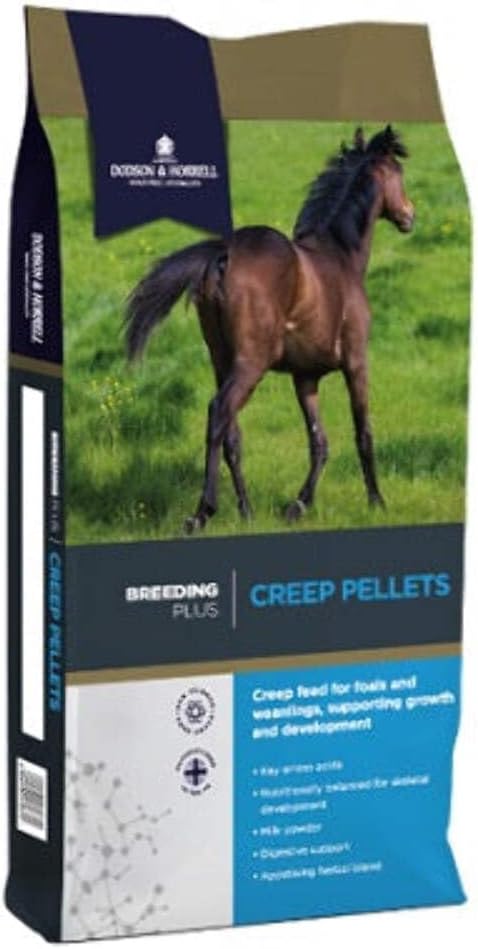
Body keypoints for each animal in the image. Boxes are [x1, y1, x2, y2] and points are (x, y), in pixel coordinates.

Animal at [126, 124, 415, 533]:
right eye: (398, 174)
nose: (409, 216)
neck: (340, 257)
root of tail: (224, 255)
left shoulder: (305, 377)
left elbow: (319, 442)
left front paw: (298, 505)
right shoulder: (356, 363)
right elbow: (363, 432)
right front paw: (377, 502)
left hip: (223, 361)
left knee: (232, 434)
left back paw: (246, 512)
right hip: (251, 364)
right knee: (218, 414)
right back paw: (202, 512)